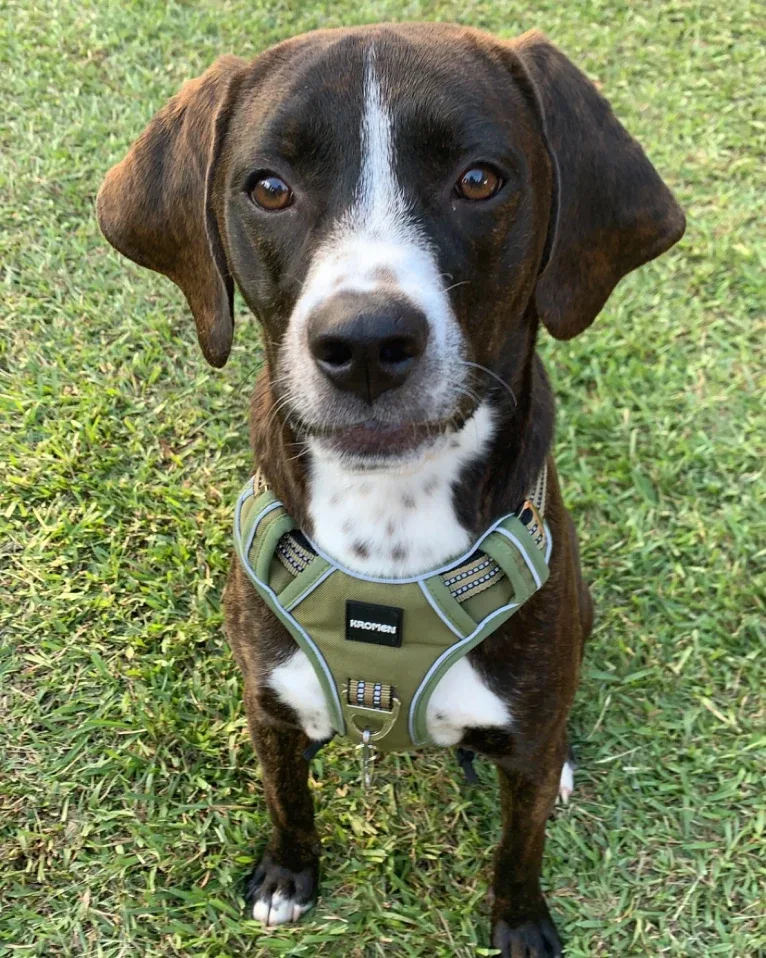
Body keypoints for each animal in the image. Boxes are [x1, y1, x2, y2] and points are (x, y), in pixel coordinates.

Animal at [96, 20, 684, 952]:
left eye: (479, 179)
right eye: (268, 188)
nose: (366, 342)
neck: (389, 520)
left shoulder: (526, 735)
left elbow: (519, 848)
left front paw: (521, 922)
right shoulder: (267, 706)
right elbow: (288, 800)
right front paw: (287, 875)